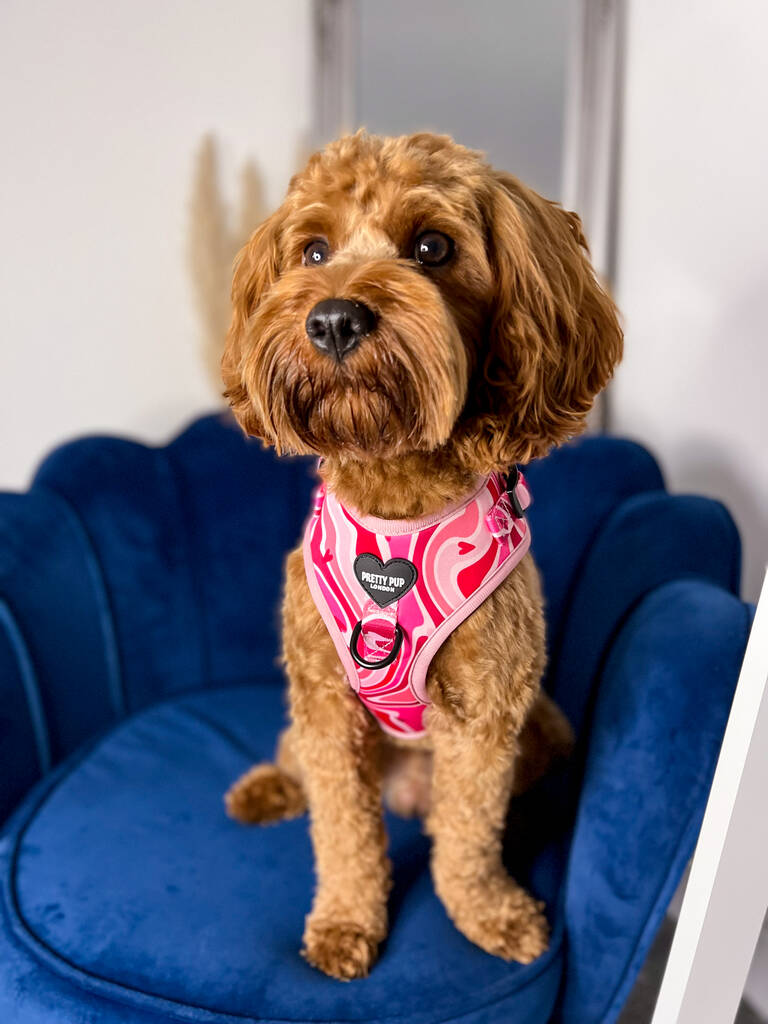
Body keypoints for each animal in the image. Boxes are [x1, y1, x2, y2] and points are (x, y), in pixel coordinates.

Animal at [219, 132, 622, 978]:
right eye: (313, 250)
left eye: (432, 247)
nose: (334, 320)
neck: (397, 500)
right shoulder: (328, 707)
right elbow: (343, 833)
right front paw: (345, 922)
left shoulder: (488, 717)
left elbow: (468, 837)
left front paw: (487, 912)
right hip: (308, 712)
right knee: (297, 761)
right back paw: (268, 788)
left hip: (547, 726)